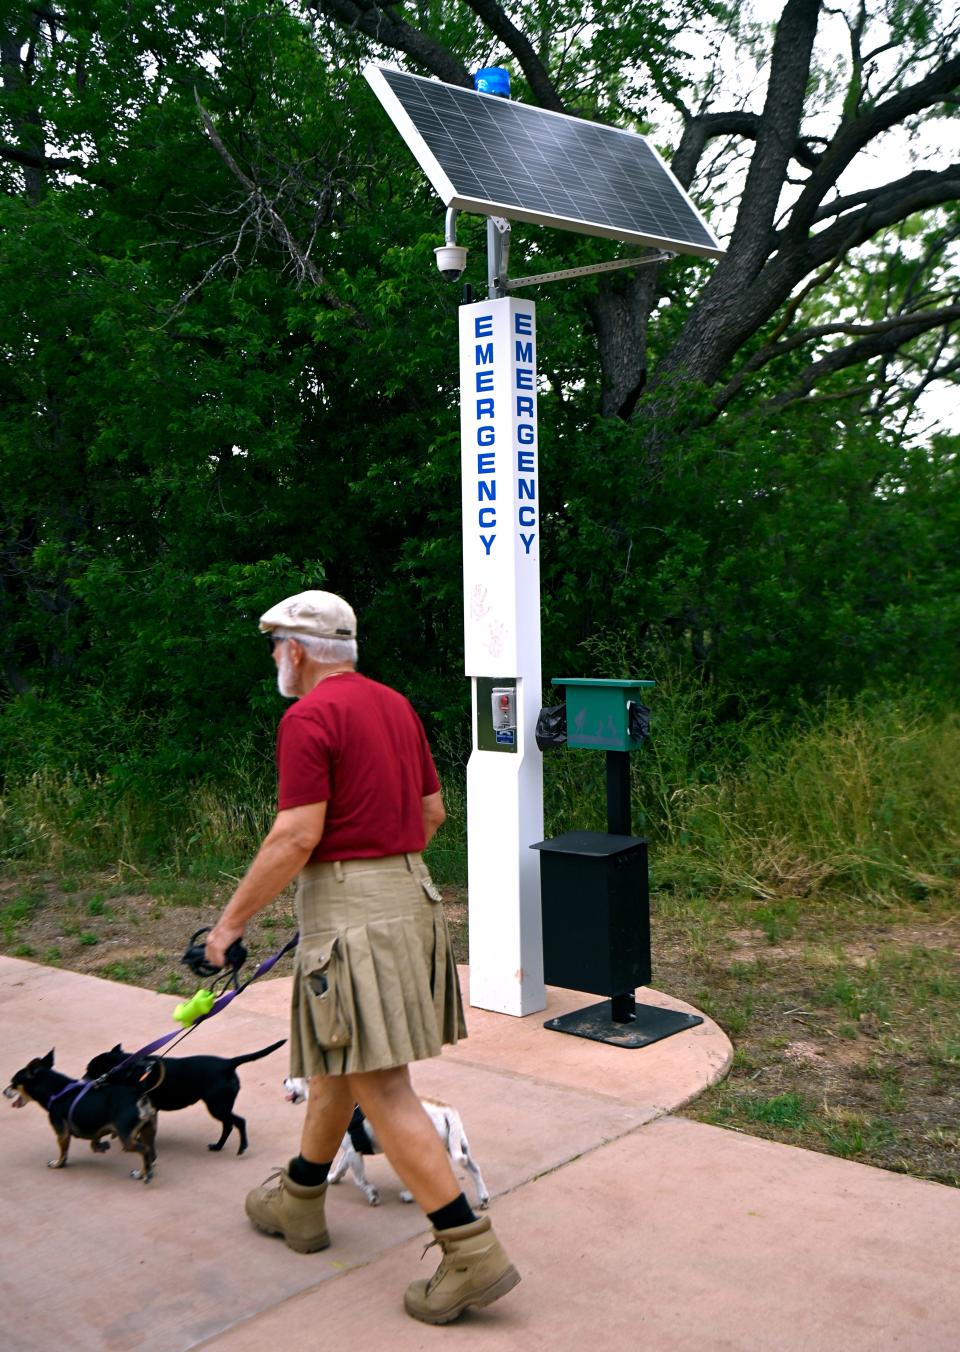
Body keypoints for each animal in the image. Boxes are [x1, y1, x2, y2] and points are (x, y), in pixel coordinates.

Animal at [6, 1049, 158, 1178]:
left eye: (13, 1083)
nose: (3, 1092)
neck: (56, 1090)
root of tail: (140, 1095)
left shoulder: (62, 1133)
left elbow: (63, 1152)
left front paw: (58, 1164)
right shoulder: (96, 1126)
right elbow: (94, 1142)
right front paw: (100, 1147)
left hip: (127, 1139)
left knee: (144, 1150)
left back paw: (144, 1174)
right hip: (148, 1131)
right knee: (150, 1153)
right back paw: (144, 1172)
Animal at [85, 1032, 285, 1151]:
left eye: (90, 1069)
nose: (83, 1079)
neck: (131, 1069)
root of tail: (228, 1064)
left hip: (217, 1106)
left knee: (238, 1122)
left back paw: (241, 1146)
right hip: (221, 1107)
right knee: (229, 1125)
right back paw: (218, 1146)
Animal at [279, 1076, 489, 1216]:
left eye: (294, 1076)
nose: (284, 1080)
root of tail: (446, 1109)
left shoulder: (354, 1153)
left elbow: (360, 1180)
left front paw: (372, 1195)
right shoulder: (349, 1150)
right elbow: (340, 1166)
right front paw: (332, 1178)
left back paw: (408, 1195)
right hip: (457, 1146)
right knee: (474, 1168)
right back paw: (483, 1198)